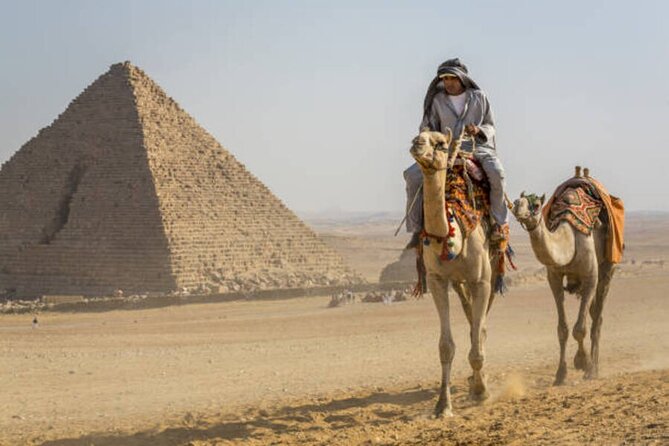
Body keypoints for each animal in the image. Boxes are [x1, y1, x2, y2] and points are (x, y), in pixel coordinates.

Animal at [410, 129, 501, 417]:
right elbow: (445, 346)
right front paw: (442, 405)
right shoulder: (437, 280)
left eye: (439, 143)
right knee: (472, 317)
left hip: (493, 271)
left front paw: (482, 392)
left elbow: (477, 336)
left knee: (480, 324)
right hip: (460, 284)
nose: (417, 144)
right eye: (418, 134)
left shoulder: (481, 280)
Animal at [511, 169, 615, 385]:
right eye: (519, 198)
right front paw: (560, 374)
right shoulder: (554, 278)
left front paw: (583, 362)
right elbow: (563, 329)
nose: (516, 205)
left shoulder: (591, 277)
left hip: (607, 269)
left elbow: (580, 329)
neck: (569, 241)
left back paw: (594, 369)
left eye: (536, 205)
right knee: (593, 313)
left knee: (597, 318)